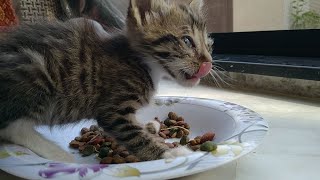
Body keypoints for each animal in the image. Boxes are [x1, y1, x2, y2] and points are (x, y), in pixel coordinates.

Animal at [0, 0, 215, 162]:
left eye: (209, 45)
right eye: (187, 41)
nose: (208, 63)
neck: (141, 62)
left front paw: (149, 126)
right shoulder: (113, 109)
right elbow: (134, 135)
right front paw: (172, 153)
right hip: (36, 71)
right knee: (12, 128)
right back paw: (58, 155)